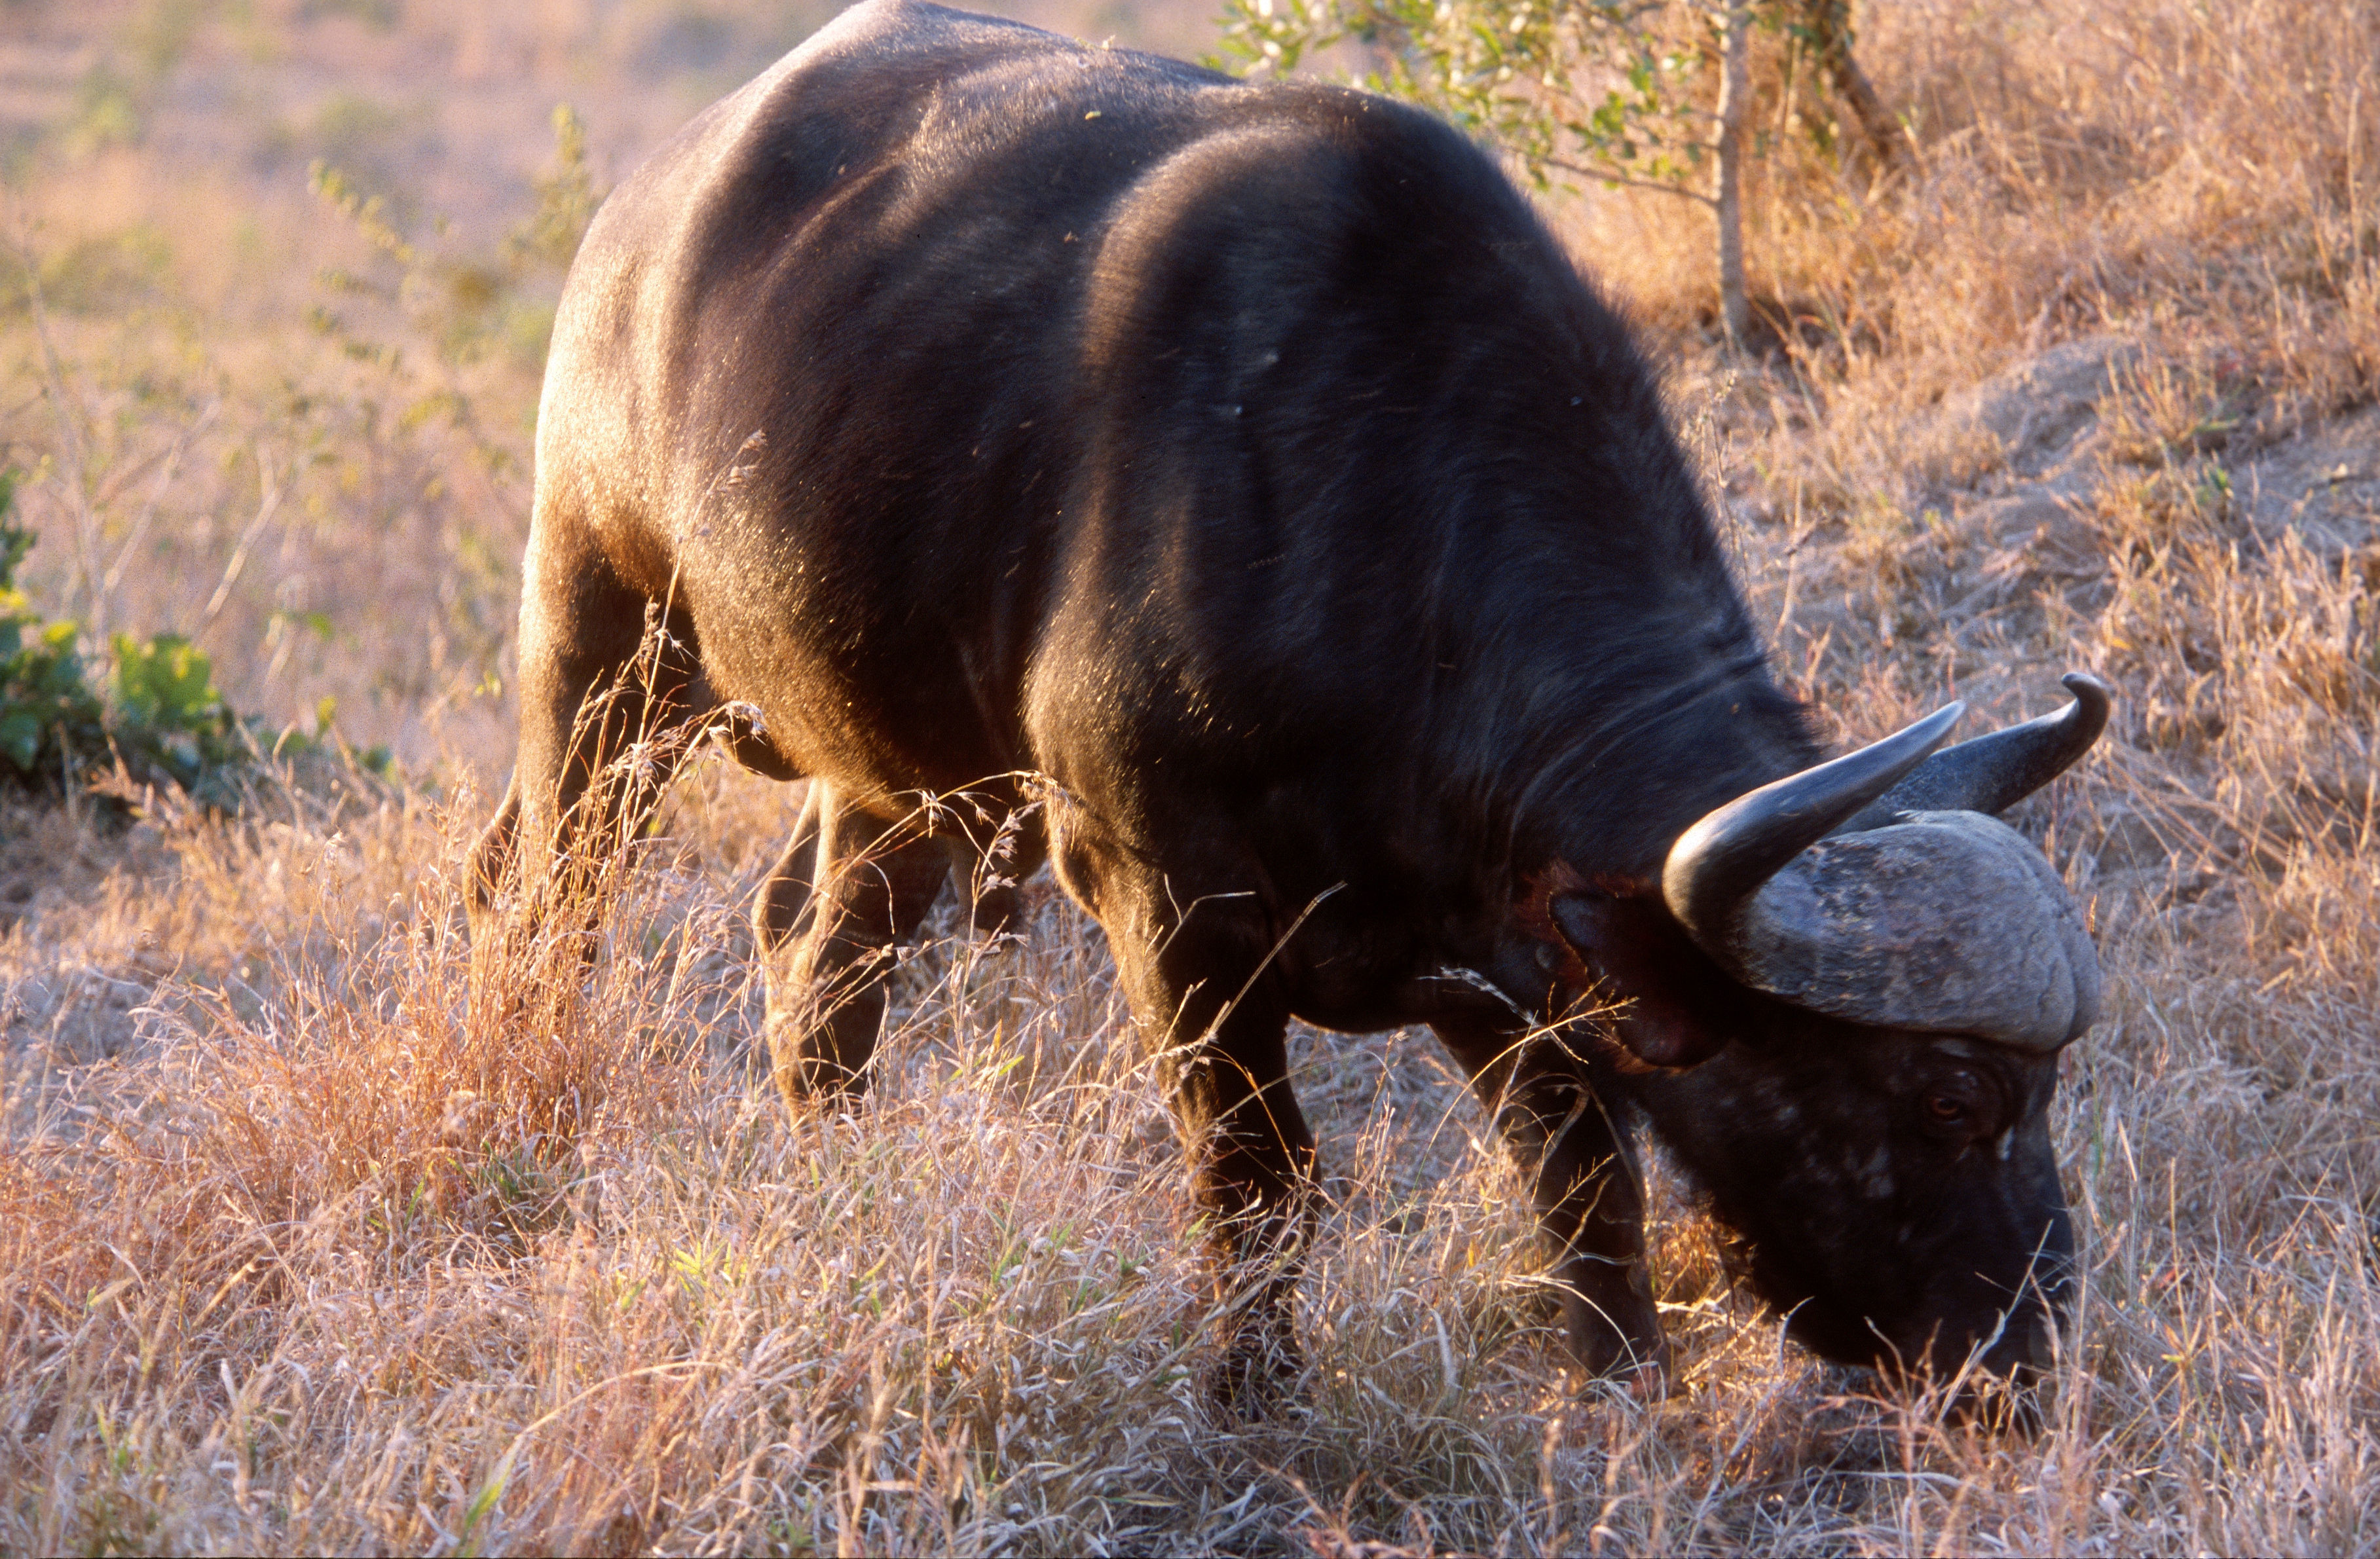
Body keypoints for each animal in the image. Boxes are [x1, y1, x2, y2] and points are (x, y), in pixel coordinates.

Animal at [464, 0, 2104, 1408]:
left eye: (2046, 1088)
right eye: (1949, 1096)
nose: (2017, 1356)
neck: (1389, 537)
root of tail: (641, 213)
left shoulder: (1503, 971)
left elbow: (1586, 1182)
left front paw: (1620, 1379)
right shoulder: (1165, 908)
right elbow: (1259, 1178)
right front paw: (1251, 1393)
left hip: (891, 772)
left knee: (816, 966)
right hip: (597, 642)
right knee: (546, 893)